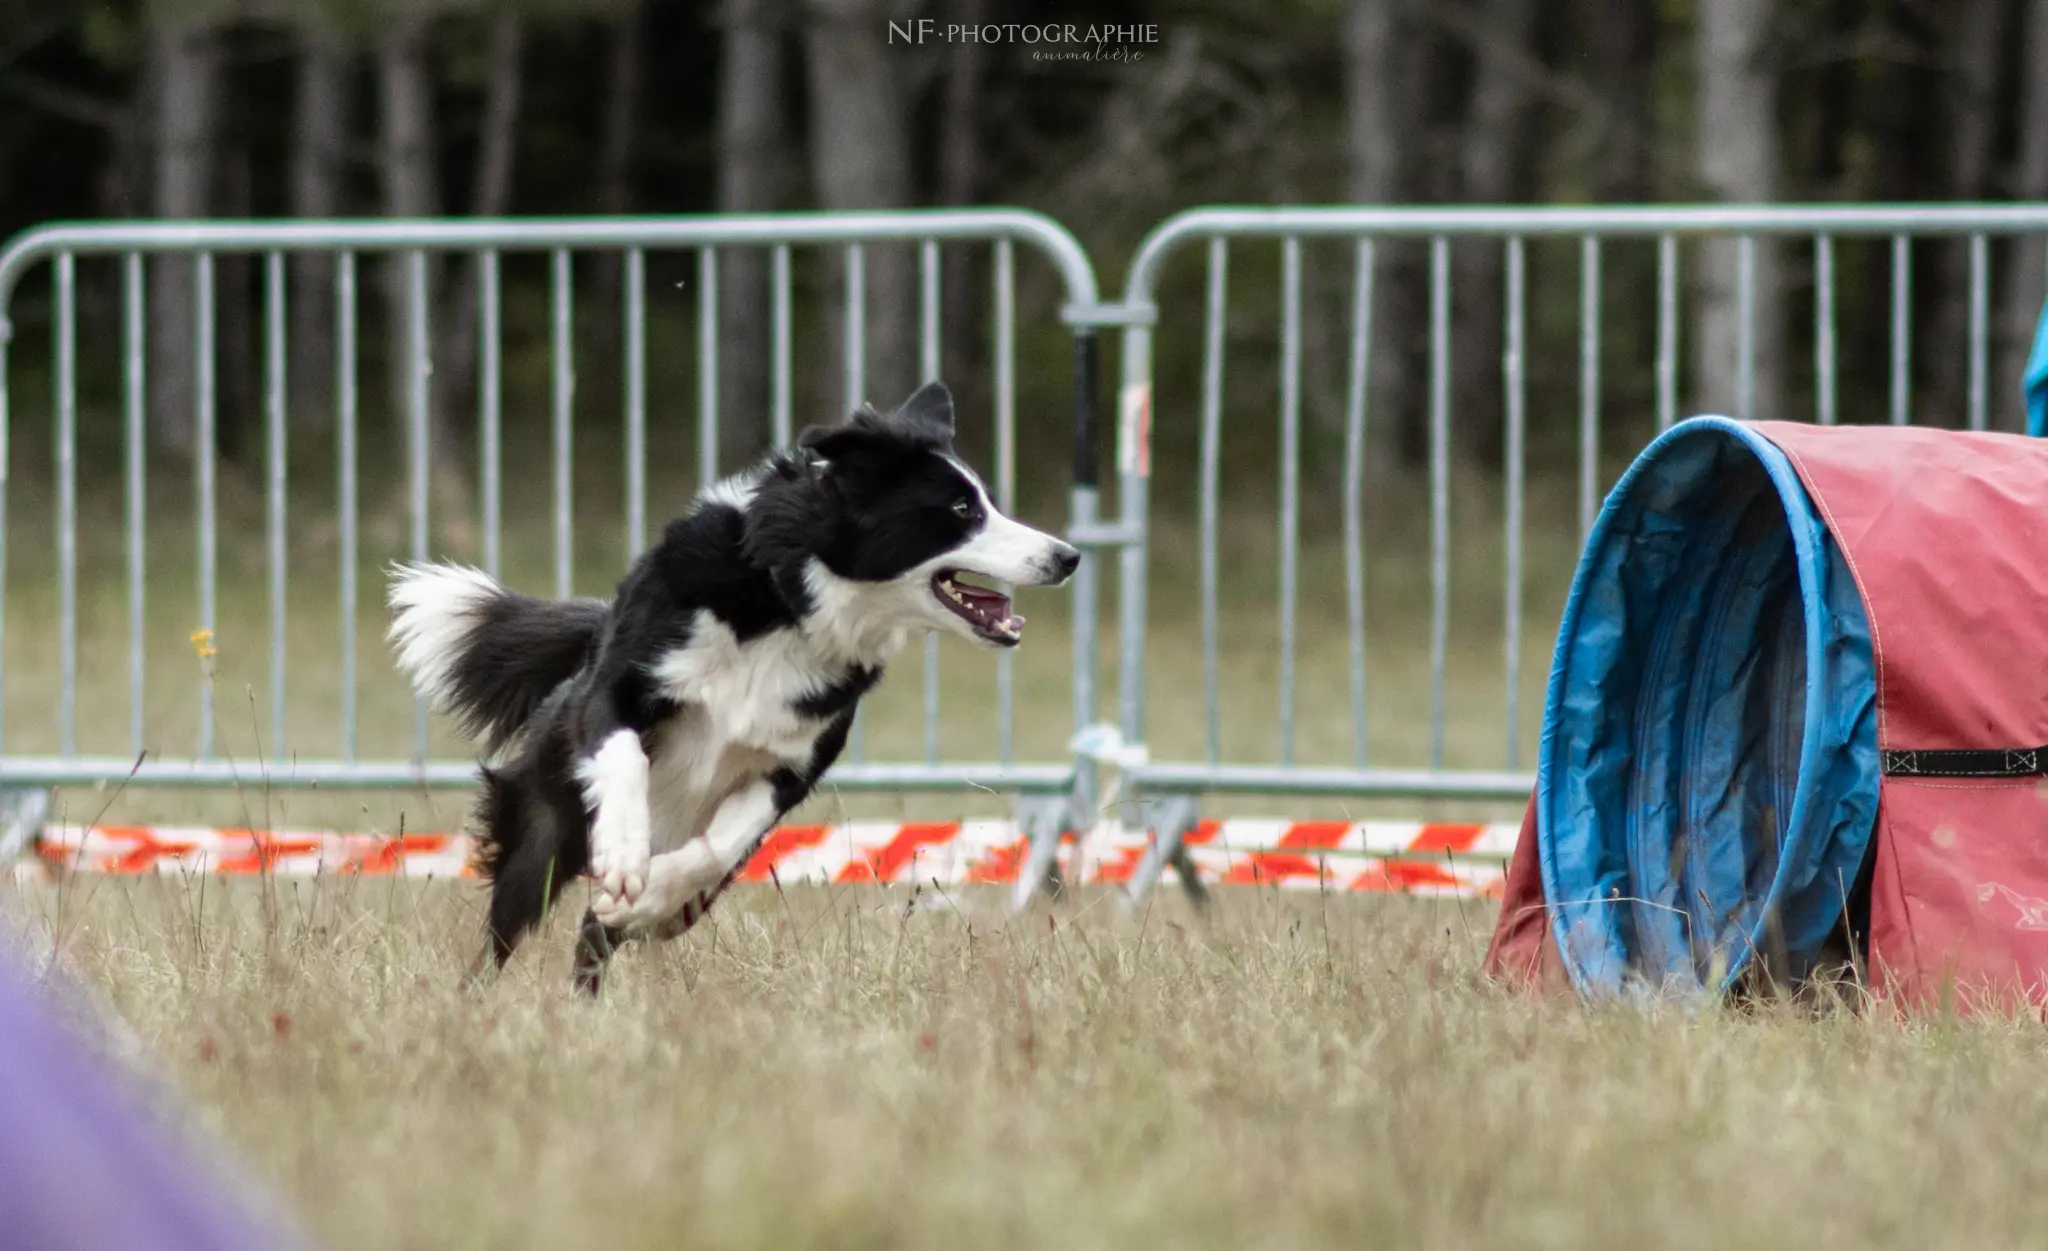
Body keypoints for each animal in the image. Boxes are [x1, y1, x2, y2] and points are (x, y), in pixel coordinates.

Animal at [389, 384, 1081, 999]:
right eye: (963, 511)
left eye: (988, 502)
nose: (1068, 557)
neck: (792, 599)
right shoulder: (614, 692)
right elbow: (626, 758)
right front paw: (624, 855)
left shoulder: (791, 765)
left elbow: (719, 845)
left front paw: (652, 894)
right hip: (539, 830)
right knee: (503, 937)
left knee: (595, 936)